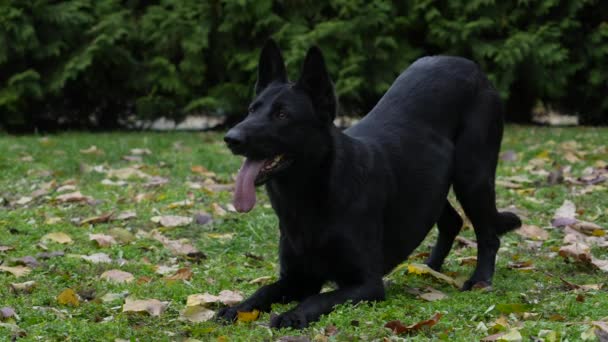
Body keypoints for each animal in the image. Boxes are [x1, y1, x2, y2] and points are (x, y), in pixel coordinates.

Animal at [216, 39, 520, 328]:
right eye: (251, 110)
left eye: (282, 115)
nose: (230, 138)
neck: (312, 195)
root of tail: (470, 66)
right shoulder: (298, 278)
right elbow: (264, 291)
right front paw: (236, 308)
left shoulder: (366, 285)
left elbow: (319, 298)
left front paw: (293, 315)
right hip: (431, 185)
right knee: (451, 221)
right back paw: (429, 268)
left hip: (472, 177)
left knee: (488, 235)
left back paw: (480, 280)